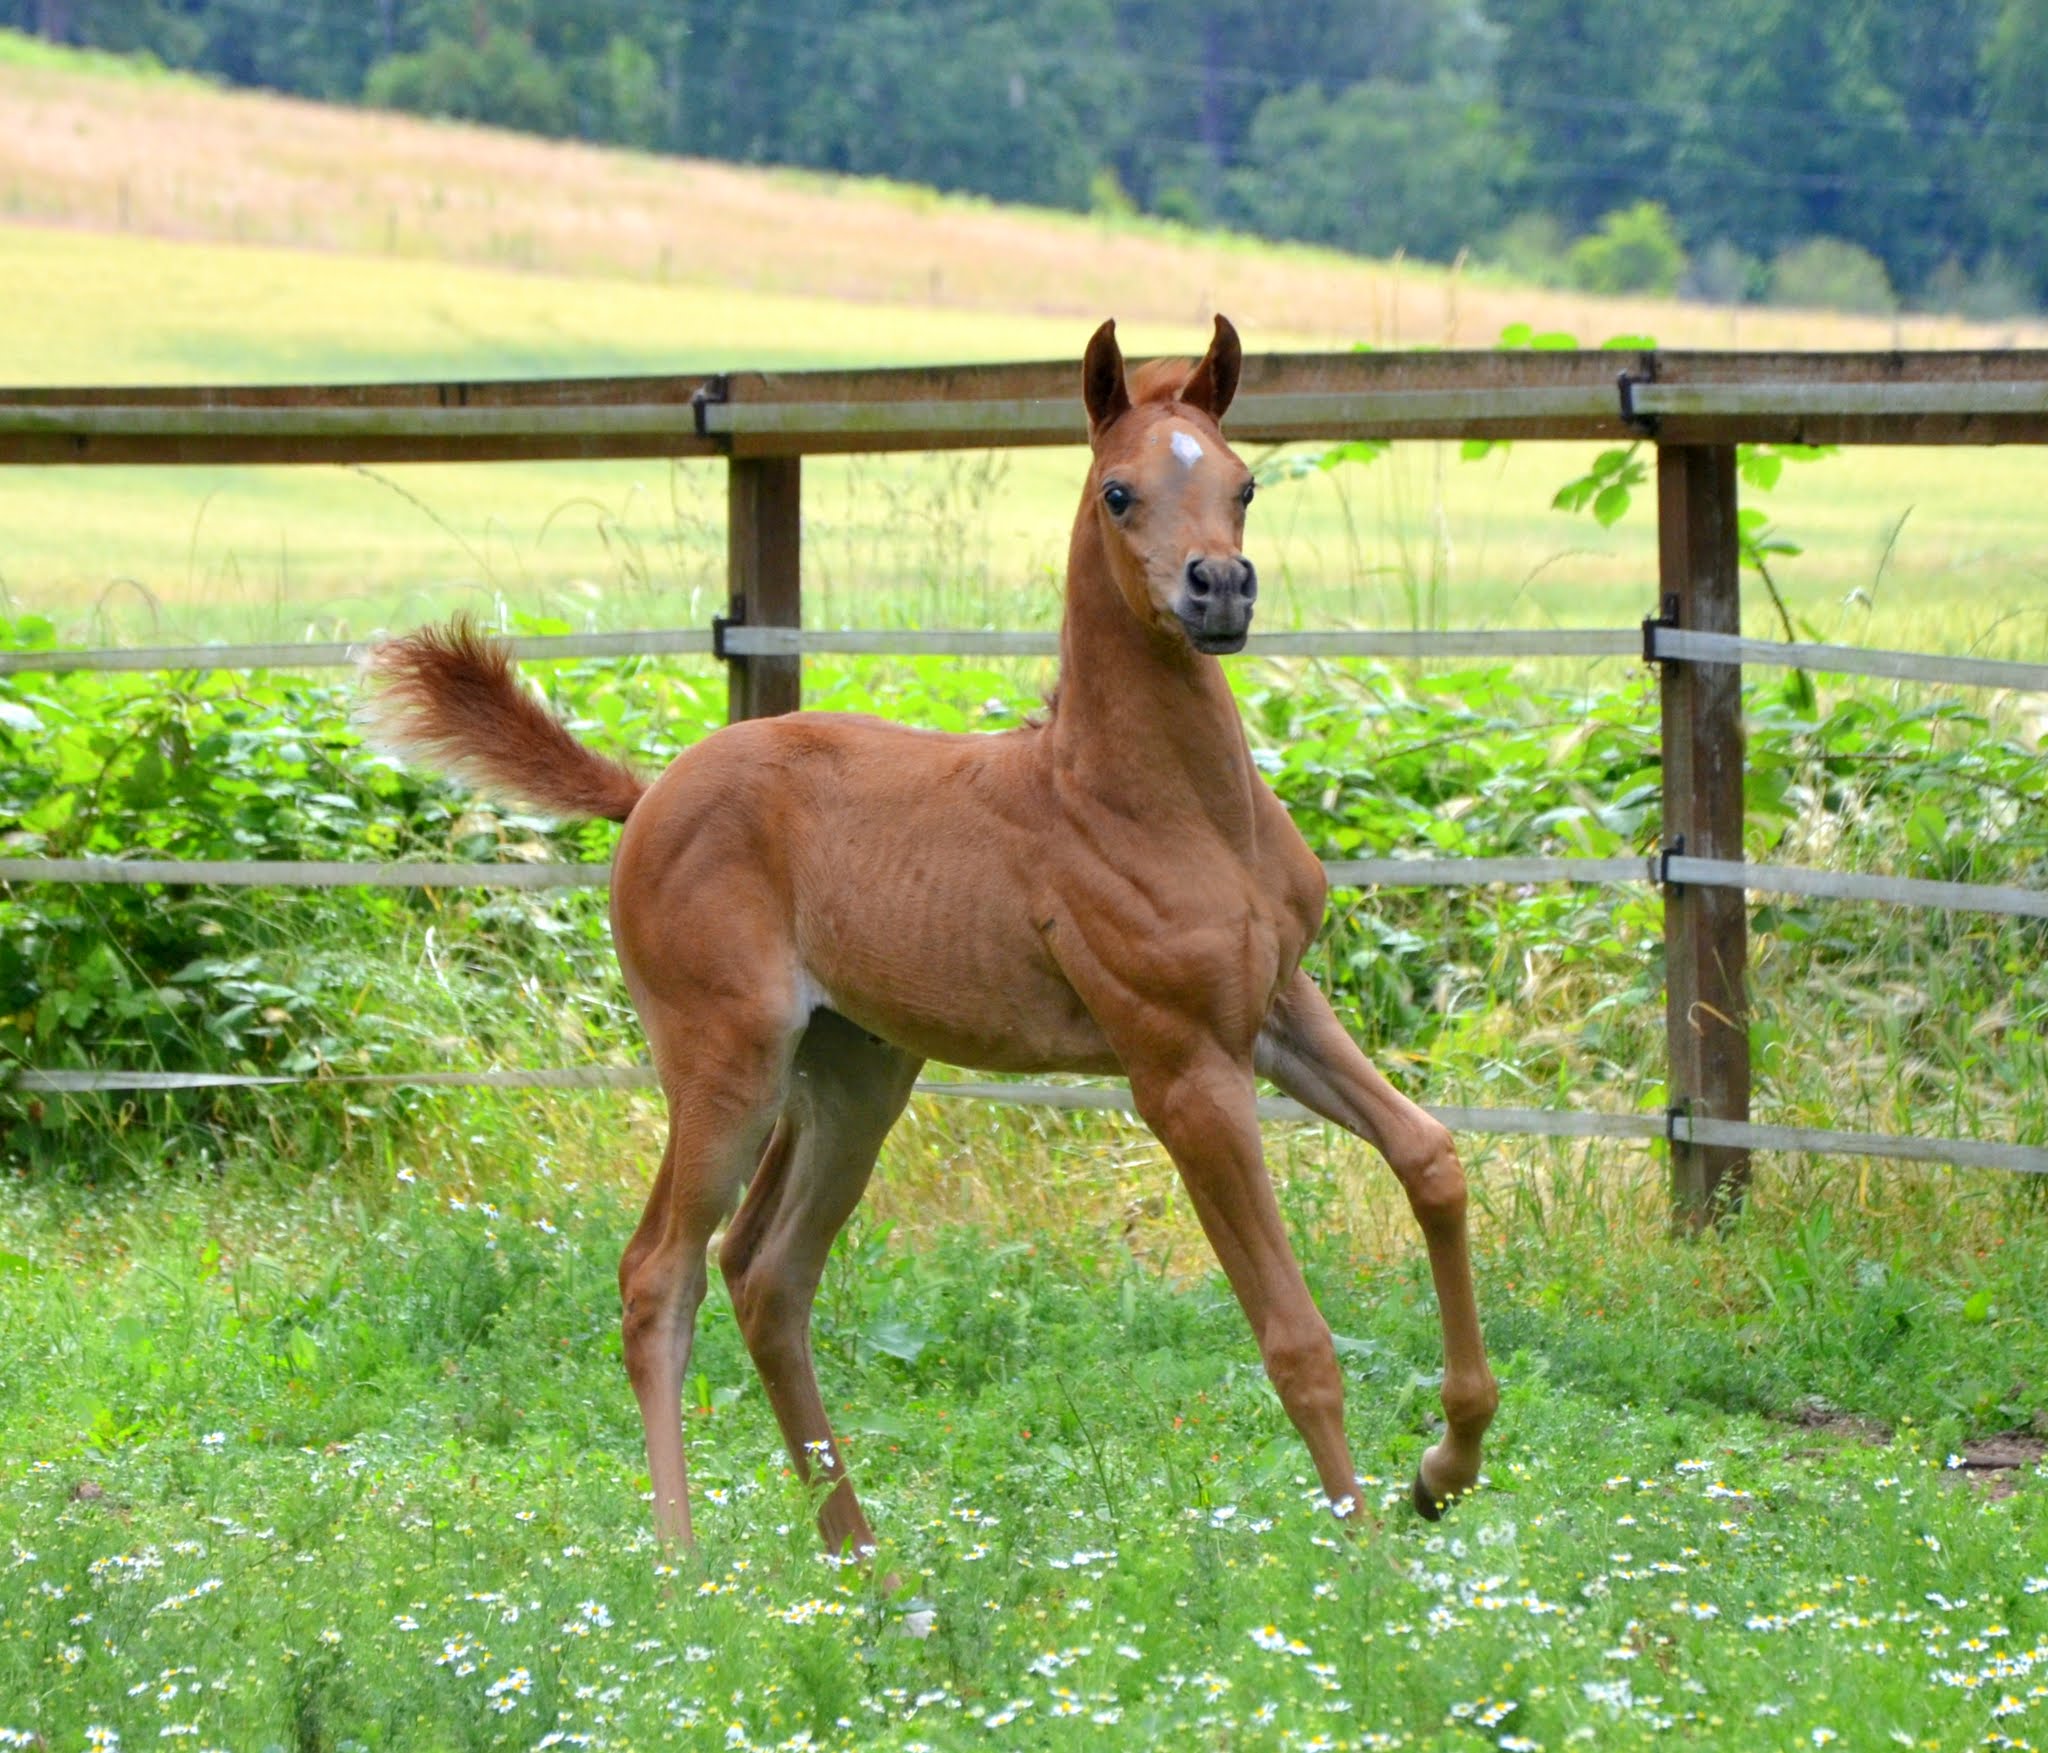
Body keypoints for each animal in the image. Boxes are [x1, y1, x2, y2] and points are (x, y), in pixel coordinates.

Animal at [363, 315, 1498, 1556]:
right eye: (1118, 492)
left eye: (1241, 485)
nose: (1219, 591)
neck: (1149, 802)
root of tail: (650, 790)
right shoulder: (1180, 1068)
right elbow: (1292, 1334)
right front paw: (1364, 1556)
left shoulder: (1276, 1006)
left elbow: (1430, 1160)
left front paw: (1443, 1468)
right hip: (727, 1062)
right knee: (659, 1270)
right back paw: (682, 1564)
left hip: (853, 1073)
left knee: (765, 1271)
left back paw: (862, 1561)